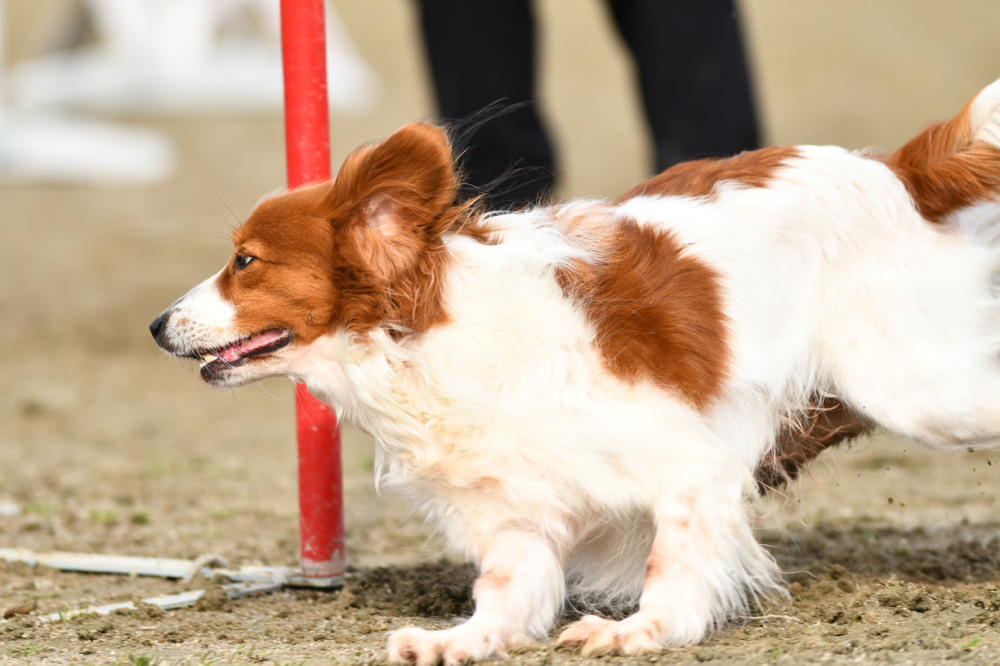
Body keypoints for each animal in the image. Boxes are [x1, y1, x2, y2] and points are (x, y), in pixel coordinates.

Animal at [150, 78, 1000, 660]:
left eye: (245, 262)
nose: (157, 326)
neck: (426, 345)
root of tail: (893, 172)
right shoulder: (515, 517)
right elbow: (505, 593)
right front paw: (462, 638)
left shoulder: (693, 466)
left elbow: (672, 560)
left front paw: (644, 629)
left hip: (922, 392)